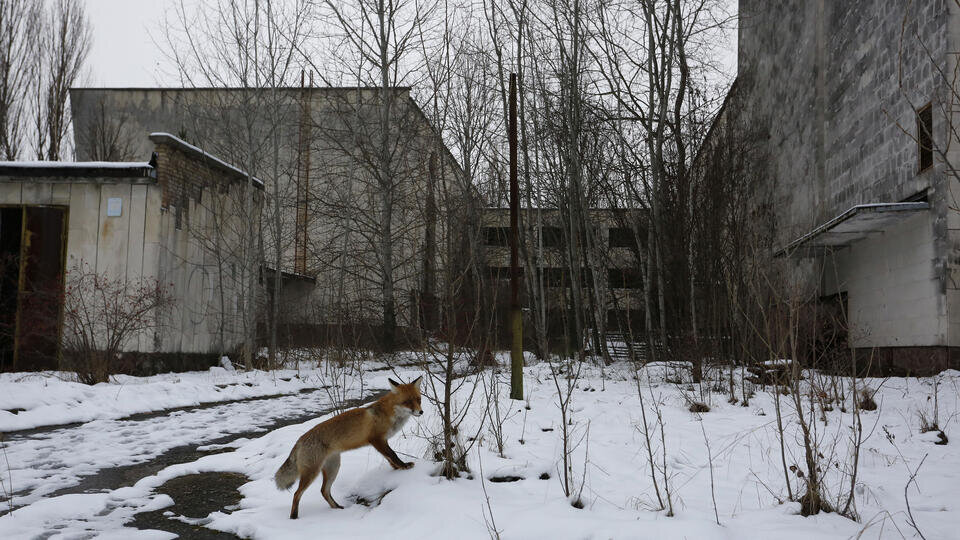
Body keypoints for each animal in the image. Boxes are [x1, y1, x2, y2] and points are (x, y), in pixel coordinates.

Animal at [270, 376, 420, 520]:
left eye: (419, 399)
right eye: (407, 401)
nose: (421, 412)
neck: (387, 413)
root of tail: (299, 440)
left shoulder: (381, 442)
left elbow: (389, 458)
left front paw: (396, 469)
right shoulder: (376, 439)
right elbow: (393, 454)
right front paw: (404, 466)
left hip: (333, 468)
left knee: (324, 491)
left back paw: (337, 508)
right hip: (312, 472)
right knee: (297, 494)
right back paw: (294, 517)